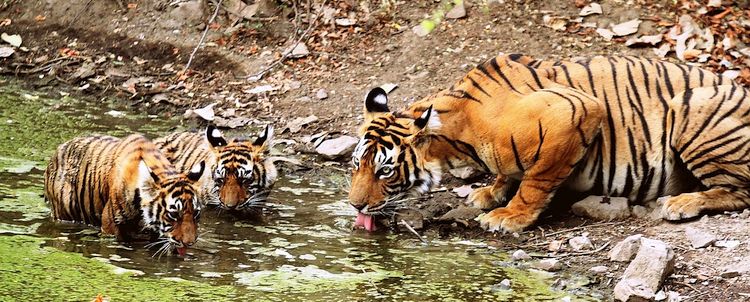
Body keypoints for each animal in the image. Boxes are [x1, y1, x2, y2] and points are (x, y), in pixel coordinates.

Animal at [350, 53, 748, 232]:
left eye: (385, 171)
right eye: (356, 165)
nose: (354, 206)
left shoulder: (574, 112)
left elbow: (536, 182)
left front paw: (509, 216)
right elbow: (508, 175)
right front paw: (490, 192)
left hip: (692, 112)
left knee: (740, 189)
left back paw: (681, 202)